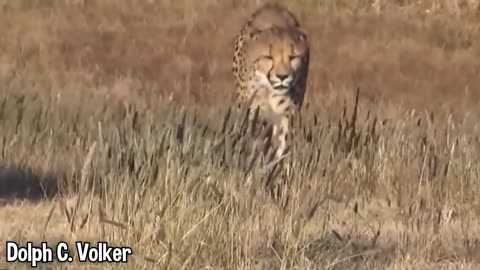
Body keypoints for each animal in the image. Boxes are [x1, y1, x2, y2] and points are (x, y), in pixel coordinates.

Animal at [232, 3, 312, 159]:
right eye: (268, 57)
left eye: (293, 57)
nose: (282, 77)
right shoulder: (253, 112)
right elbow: (255, 140)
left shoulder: (286, 114)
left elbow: (282, 142)